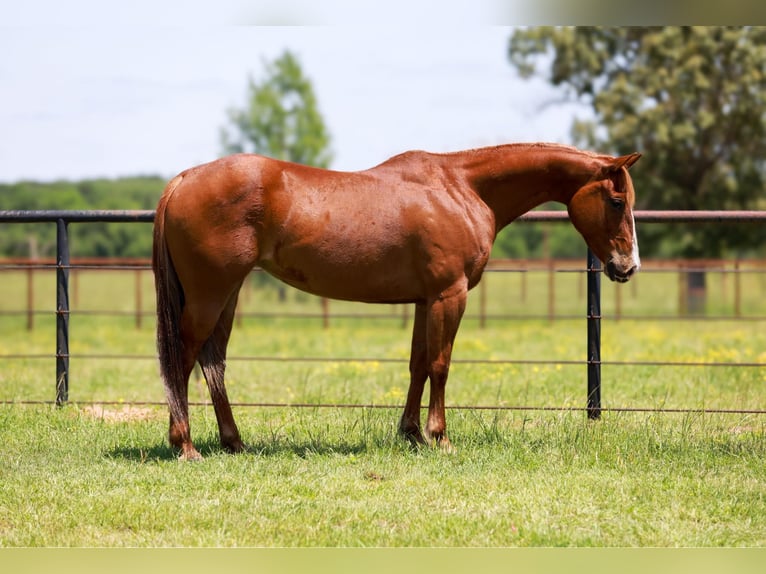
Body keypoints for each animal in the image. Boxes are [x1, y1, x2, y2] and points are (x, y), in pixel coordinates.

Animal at [152, 143, 641, 460]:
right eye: (617, 200)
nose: (628, 266)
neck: (461, 188)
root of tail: (183, 180)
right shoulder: (449, 295)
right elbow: (441, 365)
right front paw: (440, 437)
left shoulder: (426, 301)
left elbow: (418, 364)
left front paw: (412, 435)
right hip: (209, 295)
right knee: (183, 359)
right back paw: (186, 445)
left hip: (227, 294)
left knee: (213, 363)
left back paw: (233, 442)